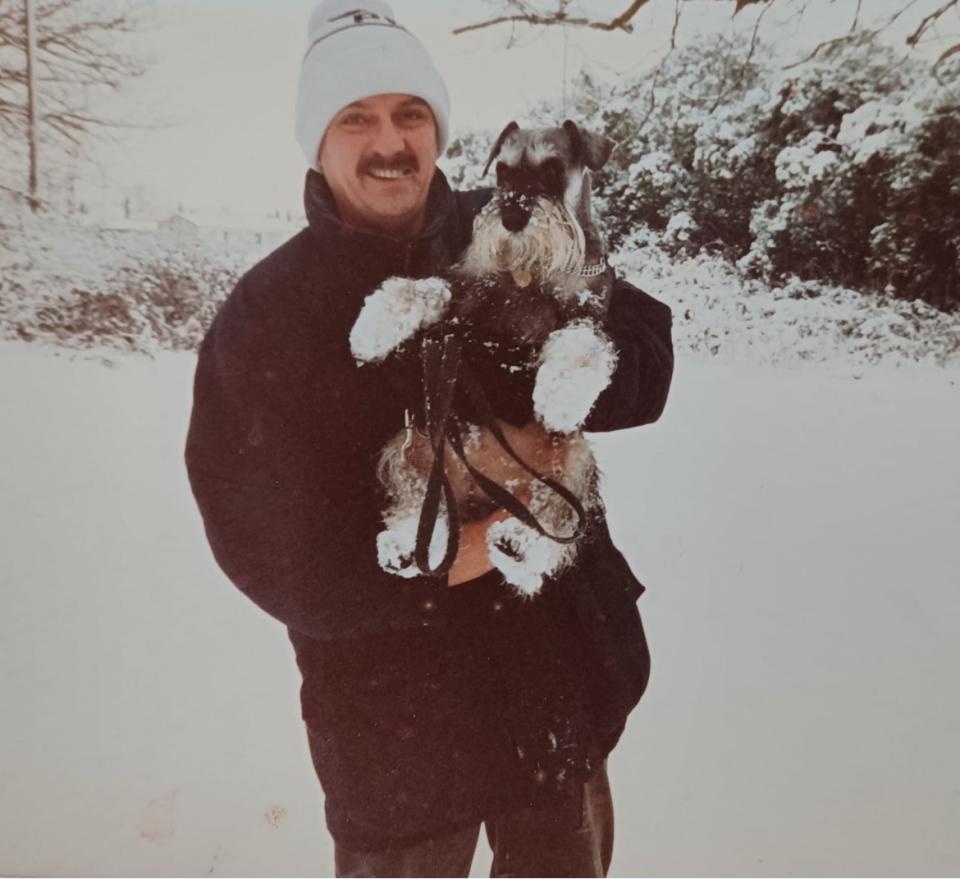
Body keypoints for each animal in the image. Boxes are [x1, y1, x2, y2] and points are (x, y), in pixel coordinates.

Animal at [348, 118, 620, 600]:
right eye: (503, 173)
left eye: (553, 169)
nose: (512, 218)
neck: (529, 274)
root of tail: (490, 488)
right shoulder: (463, 298)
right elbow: (420, 287)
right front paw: (372, 328)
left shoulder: (589, 316)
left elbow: (584, 346)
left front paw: (560, 398)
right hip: (412, 443)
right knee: (420, 502)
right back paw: (405, 544)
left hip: (575, 458)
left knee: (558, 515)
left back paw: (521, 546)